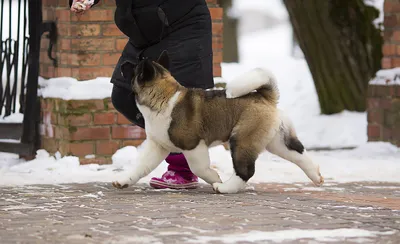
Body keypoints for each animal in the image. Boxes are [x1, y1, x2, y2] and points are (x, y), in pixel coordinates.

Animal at [111, 51, 324, 193]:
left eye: (134, 69)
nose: (123, 63)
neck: (164, 96)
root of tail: (265, 97)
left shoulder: (193, 146)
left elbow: (199, 167)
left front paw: (214, 177)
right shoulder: (158, 145)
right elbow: (141, 165)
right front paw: (123, 180)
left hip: (241, 140)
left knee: (246, 170)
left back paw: (224, 187)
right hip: (276, 141)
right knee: (297, 153)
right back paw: (316, 175)